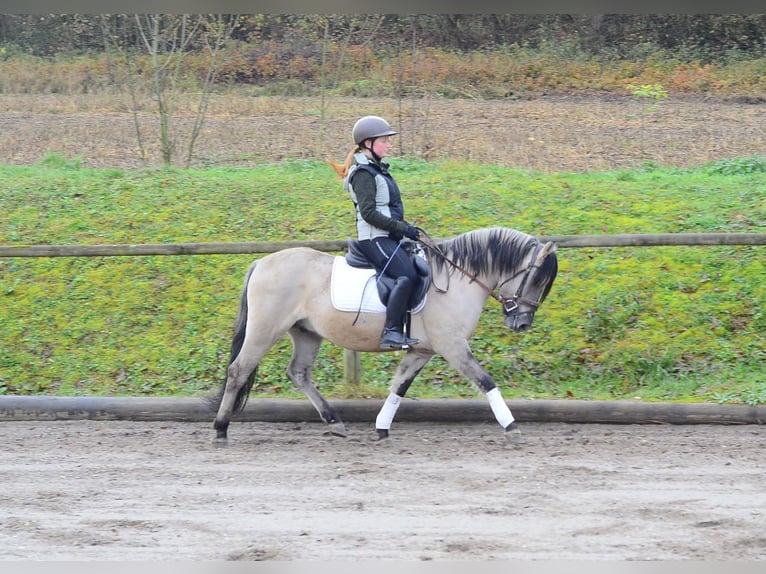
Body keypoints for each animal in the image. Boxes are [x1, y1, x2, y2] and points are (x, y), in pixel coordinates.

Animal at [210, 226, 558, 443]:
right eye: (536, 279)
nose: (522, 324)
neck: (457, 279)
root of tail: (261, 262)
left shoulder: (421, 351)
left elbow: (399, 386)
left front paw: (381, 428)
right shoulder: (453, 346)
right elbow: (485, 381)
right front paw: (512, 427)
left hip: (306, 332)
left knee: (299, 373)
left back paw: (335, 422)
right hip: (266, 328)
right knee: (239, 370)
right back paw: (220, 429)